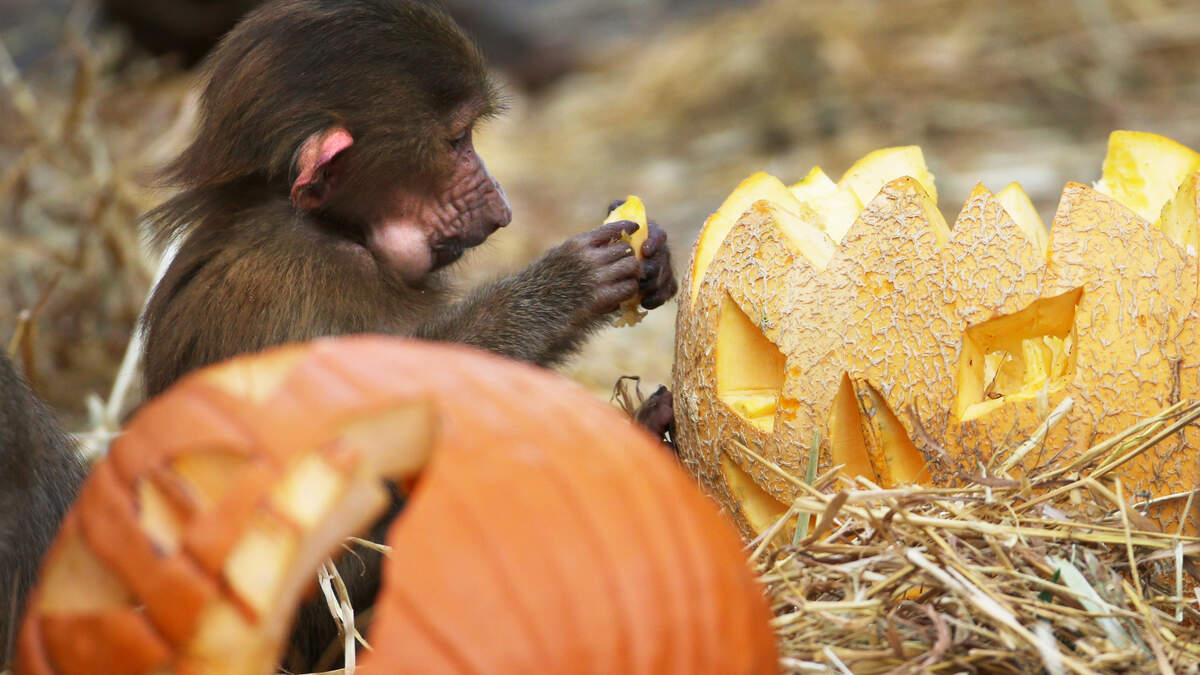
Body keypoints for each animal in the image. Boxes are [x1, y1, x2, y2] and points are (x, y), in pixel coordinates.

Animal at [133, 0, 677, 668]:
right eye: (458, 141)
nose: (502, 207)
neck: (325, 223)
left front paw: (653, 257)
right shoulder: (294, 278)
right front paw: (562, 287)